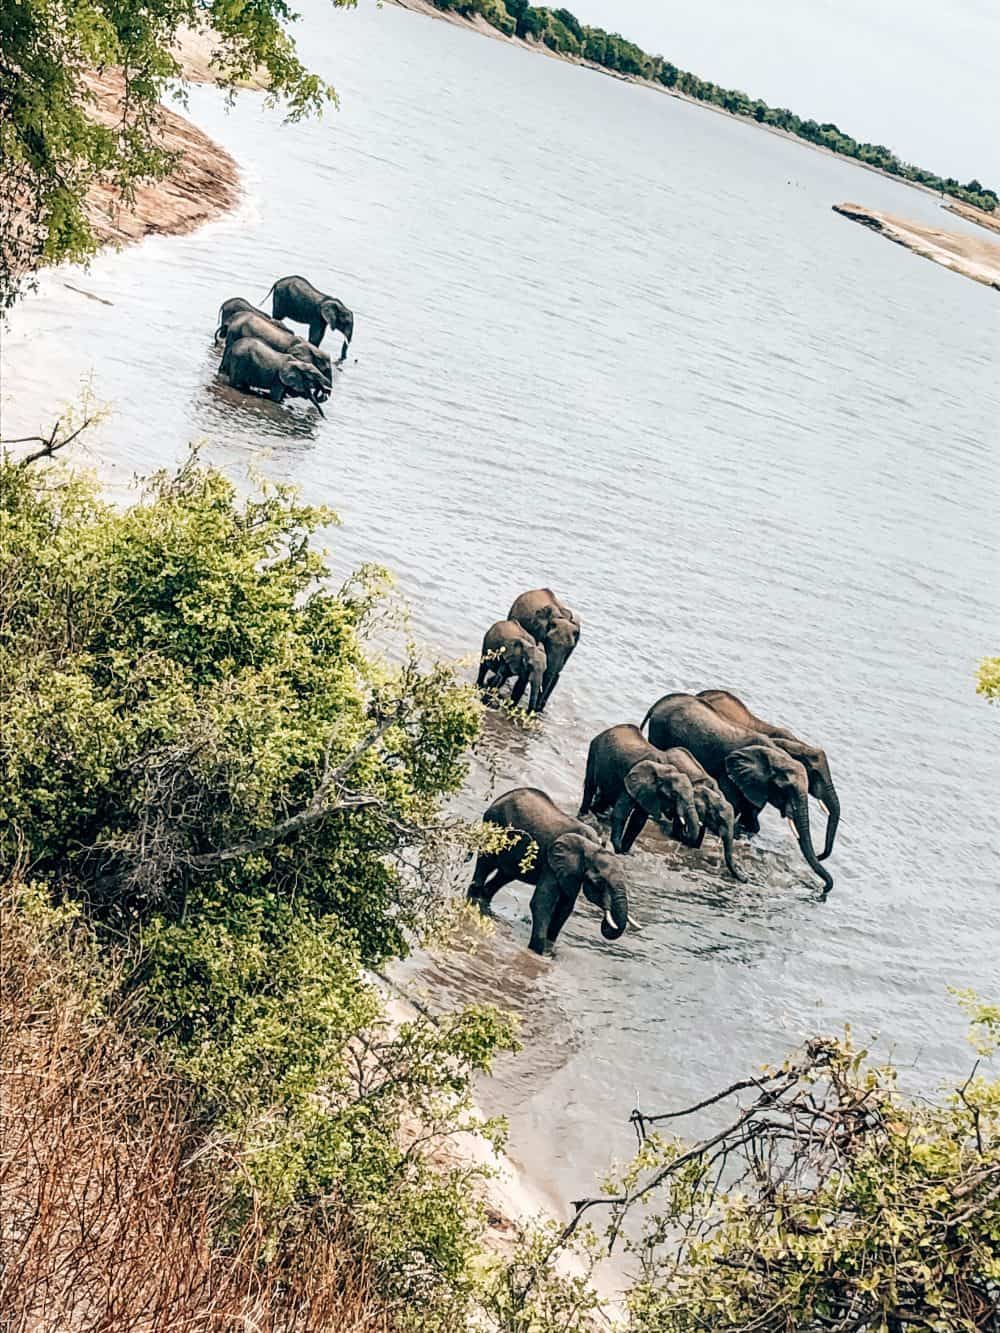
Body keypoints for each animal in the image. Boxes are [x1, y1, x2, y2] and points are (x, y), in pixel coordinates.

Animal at [466, 783, 629, 954]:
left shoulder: (573, 872)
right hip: (495, 825)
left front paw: (549, 951)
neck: (592, 846)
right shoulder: (552, 864)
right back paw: (474, 899)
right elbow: (542, 901)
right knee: (485, 864)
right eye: (599, 882)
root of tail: (499, 798)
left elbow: (565, 906)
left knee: (505, 875)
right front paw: (538, 951)